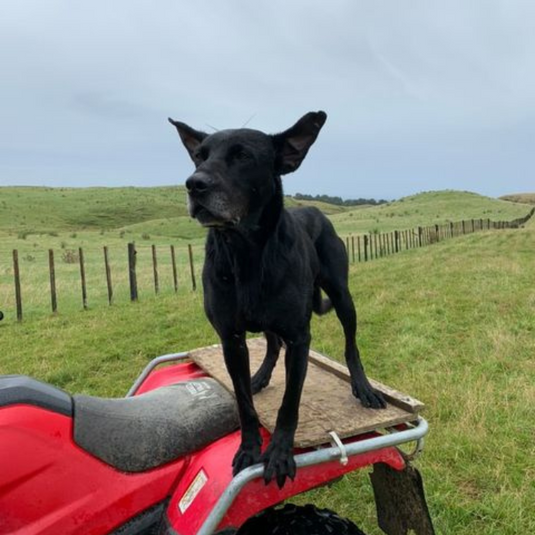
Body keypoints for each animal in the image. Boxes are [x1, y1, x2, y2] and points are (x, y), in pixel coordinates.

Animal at [170, 111, 384, 488]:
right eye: (199, 156)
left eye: (243, 156)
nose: (194, 184)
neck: (245, 253)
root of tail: (314, 210)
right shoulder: (231, 339)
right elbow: (243, 403)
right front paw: (249, 448)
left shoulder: (299, 338)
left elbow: (290, 403)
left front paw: (281, 454)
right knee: (271, 344)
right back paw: (260, 376)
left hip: (342, 296)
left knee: (350, 344)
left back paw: (363, 386)